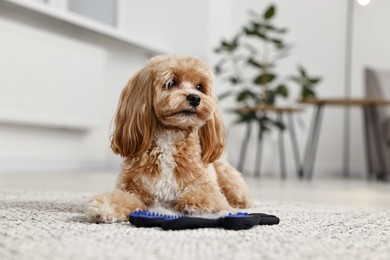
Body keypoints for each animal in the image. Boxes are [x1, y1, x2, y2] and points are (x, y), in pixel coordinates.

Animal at [86, 55, 250, 223]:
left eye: (199, 87)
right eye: (171, 83)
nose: (194, 98)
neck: (170, 136)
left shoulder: (209, 189)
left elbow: (205, 195)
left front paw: (194, 203)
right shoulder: (134, 188)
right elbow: (123, 198)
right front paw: (105, 207)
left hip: (227, 175)